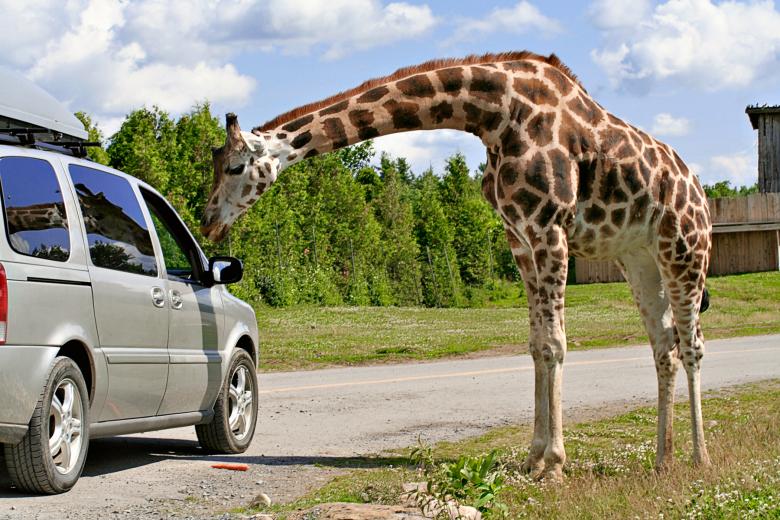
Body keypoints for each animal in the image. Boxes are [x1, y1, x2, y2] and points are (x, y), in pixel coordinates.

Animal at [201, 51, 712, 480]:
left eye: (233, 167)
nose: (207, 221)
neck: (496, 115)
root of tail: (700, 191)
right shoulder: (519, 237)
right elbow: (537, 346)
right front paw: (533, 457)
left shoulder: (550, 229)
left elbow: (557, 344)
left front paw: (554, 465)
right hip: (640, 258)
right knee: (664, 346)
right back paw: (664, 459)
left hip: (687, 250)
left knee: (692, 346)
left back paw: (700, 458)